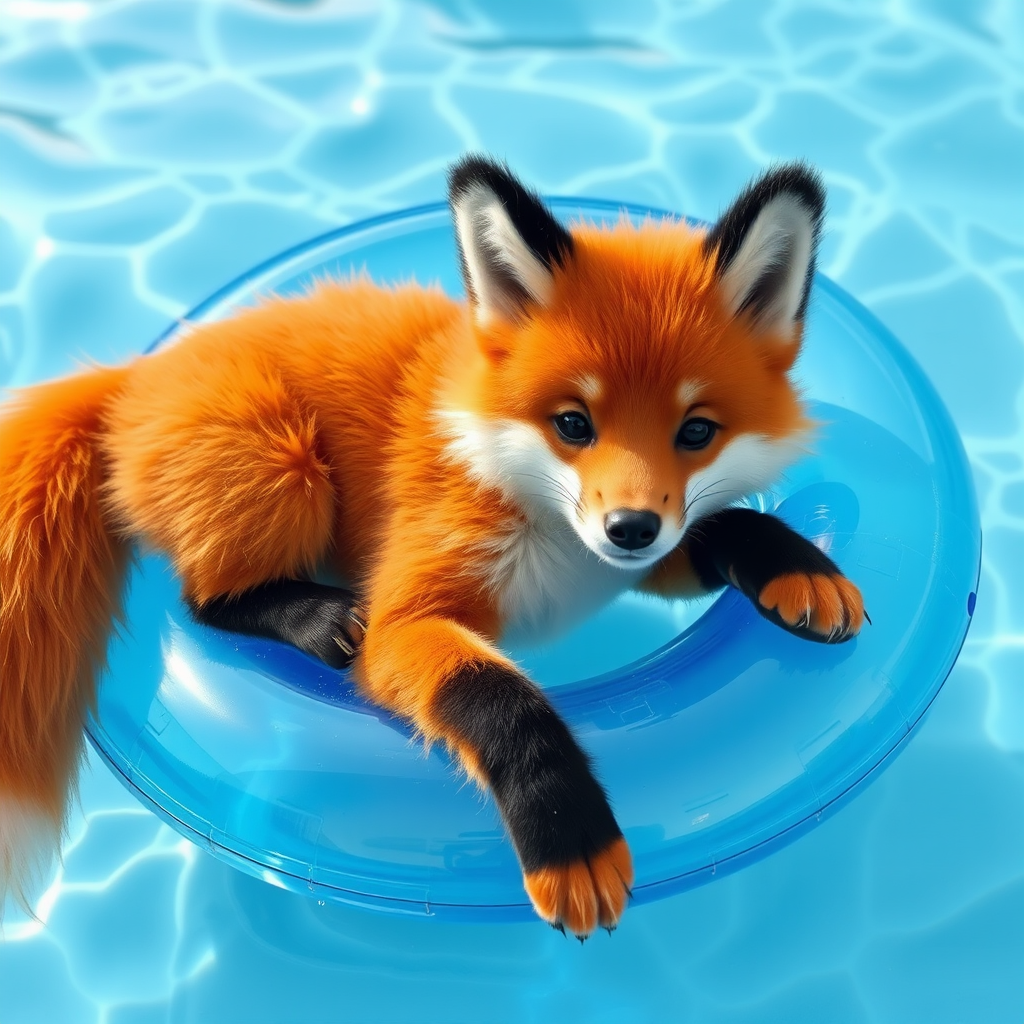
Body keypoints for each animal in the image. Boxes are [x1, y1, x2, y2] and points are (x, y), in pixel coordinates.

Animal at [2, 153, 864, 937]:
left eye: (695, 432)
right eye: (573, 423)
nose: (629, 528)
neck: (547, 534)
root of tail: (132, 376)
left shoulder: (641, 558)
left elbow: (727, 526)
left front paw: (800, 568)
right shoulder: (406, 617)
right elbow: (501, 700)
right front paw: (572, 844)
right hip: (284, 467)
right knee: (202, 600)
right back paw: (312, 617)